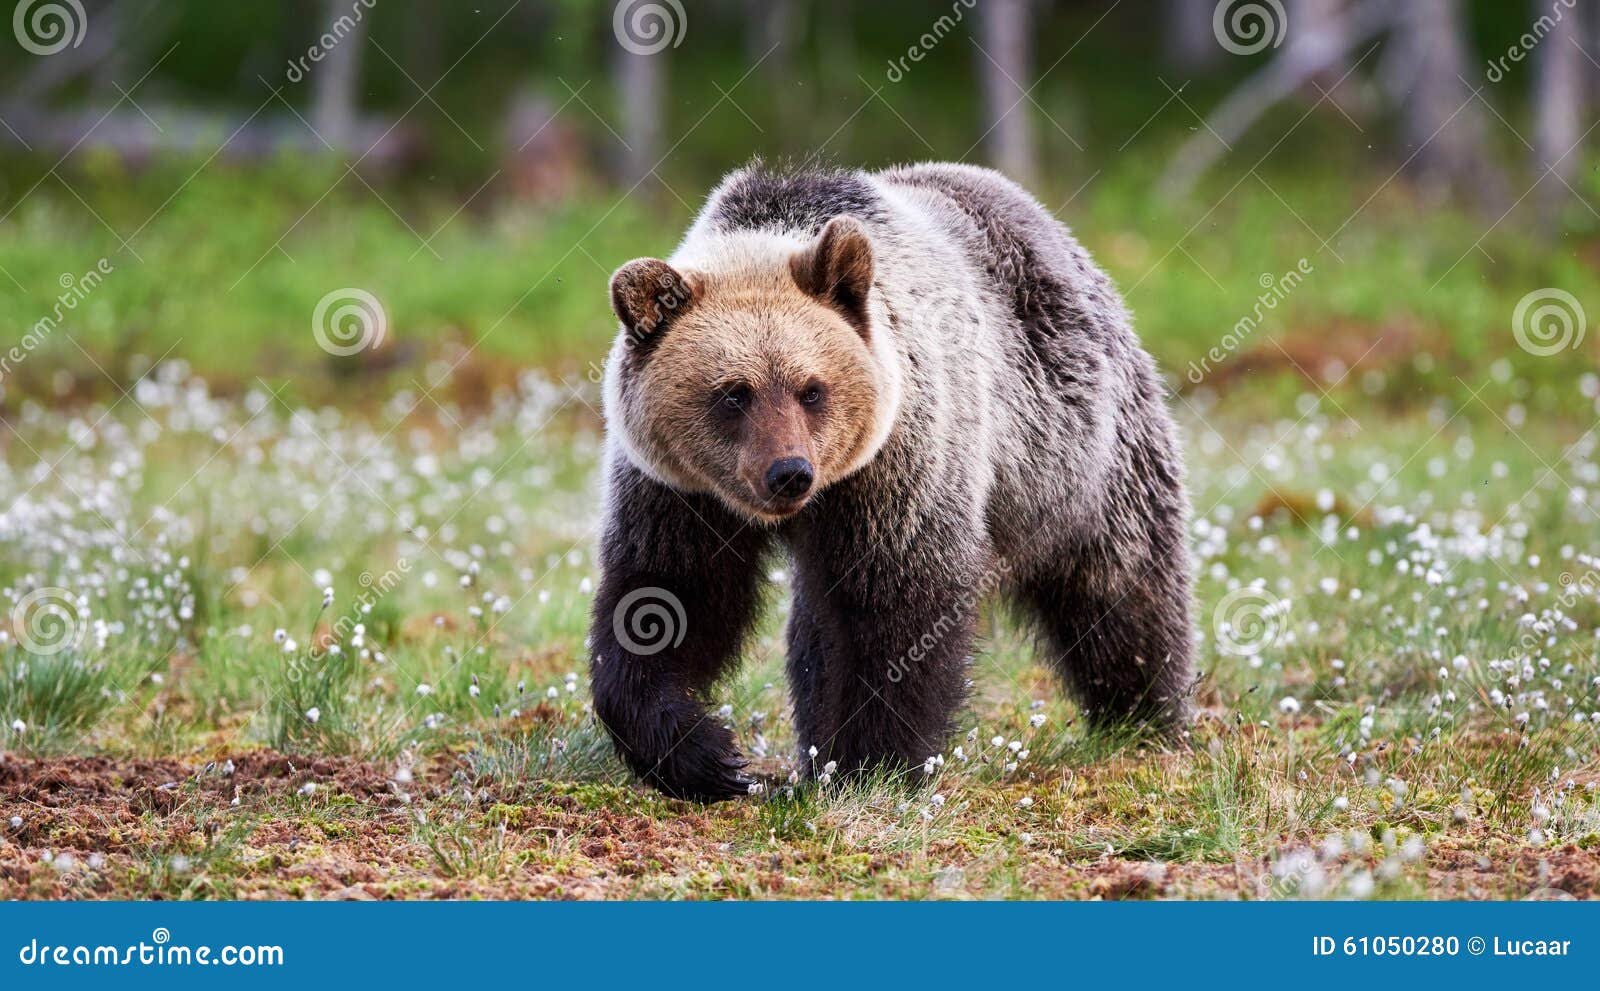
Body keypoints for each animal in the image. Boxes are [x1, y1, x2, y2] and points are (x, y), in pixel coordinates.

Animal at [588, 160, 1190, 797]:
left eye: (811, 389)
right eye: (733, 393)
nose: (789, 473)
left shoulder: (899, 468)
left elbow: (897, 609)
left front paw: (871, 762)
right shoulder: (678, 492)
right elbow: (666, 599)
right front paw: (706, 755)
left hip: (1078, 452)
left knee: (1122, 586)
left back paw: (1144, 712)